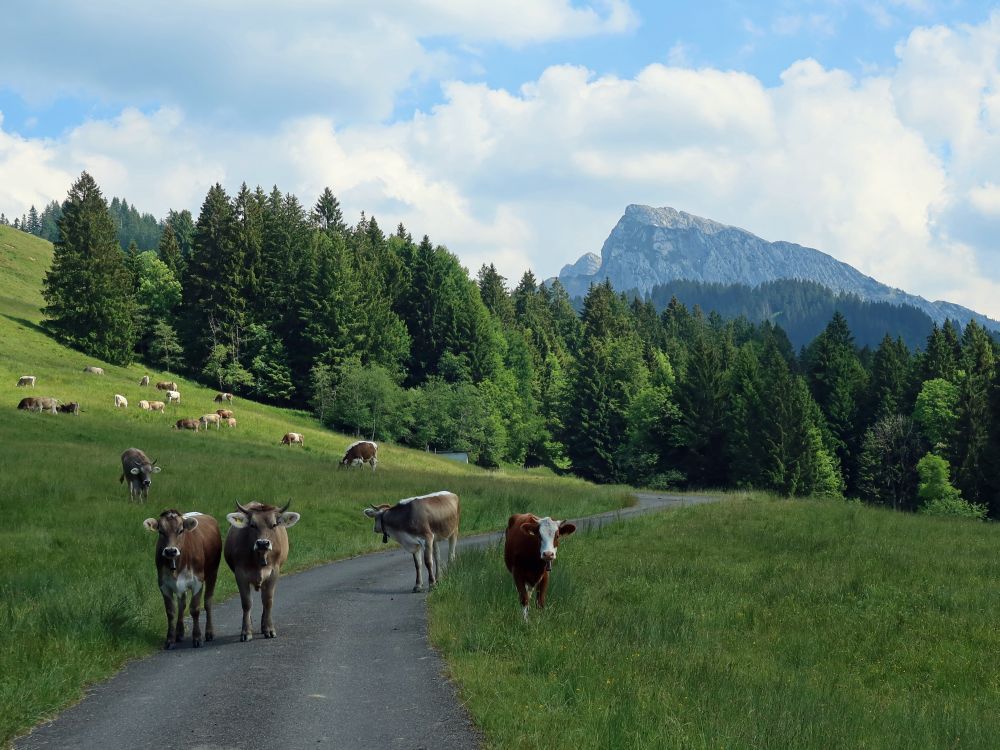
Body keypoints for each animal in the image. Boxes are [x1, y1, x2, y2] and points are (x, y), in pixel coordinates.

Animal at [143, 512, 223, 652]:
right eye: (161, 531)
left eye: (180, 531)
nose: (170, 550)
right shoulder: (163, 585)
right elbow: (171, 611)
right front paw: (170, 640)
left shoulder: (197, 582)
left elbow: (195, 609)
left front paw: (197, 638)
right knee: (182, 604)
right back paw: (179, 633)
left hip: (212, 573)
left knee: (208, 602)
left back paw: (209, 632)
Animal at [226, 502, 300, 644]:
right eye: (252, 525)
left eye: (274, 525)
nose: (262, 543)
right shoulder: (240, 574)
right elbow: (247, 603)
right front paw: (246, 631)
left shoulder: (274, 572)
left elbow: (268, 601)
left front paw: (269, 629)